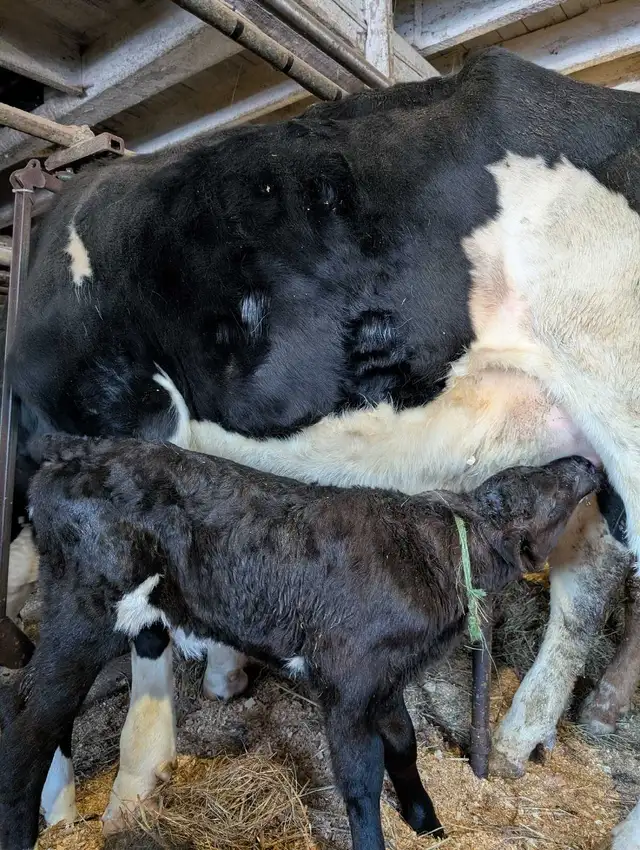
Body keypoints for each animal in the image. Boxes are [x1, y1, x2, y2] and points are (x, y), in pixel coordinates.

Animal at [4, 46, 640, 845]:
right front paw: (223, 671)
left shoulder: (125, 421)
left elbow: (148, 624)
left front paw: (128, 782)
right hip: (583, 443)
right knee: (588, 577)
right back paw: (520, 736)